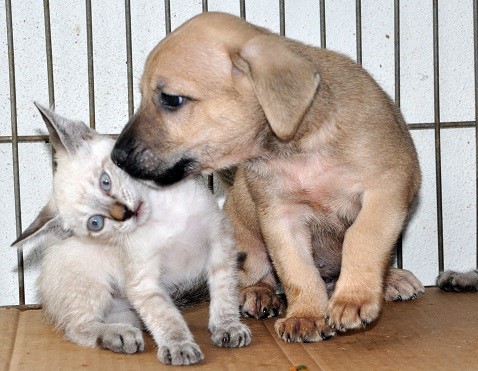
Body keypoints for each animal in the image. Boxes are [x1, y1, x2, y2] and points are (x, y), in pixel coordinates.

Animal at [11, 103, 252, 368]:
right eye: (95, 223)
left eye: (105, 182)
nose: (125, 213)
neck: (163, 215)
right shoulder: (143, 281)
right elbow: (165, 316)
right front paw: (179, 346)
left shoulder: (220, 242)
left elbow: (224, 291)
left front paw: (228, 327)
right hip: (91, 281)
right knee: (77, 327)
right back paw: (118, 335)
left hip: (124, 307)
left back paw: (127, 332)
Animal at [114, 11, 424, 342]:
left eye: (172, 99)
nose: (116, 156)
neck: (299, 149)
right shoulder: (281, 218)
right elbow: (297, 271)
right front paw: (306, 315)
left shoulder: (384, 192)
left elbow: (362, 238)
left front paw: (353, 298)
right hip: (243, 243)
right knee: (254, 276)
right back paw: (259, 293)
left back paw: (390, 279)